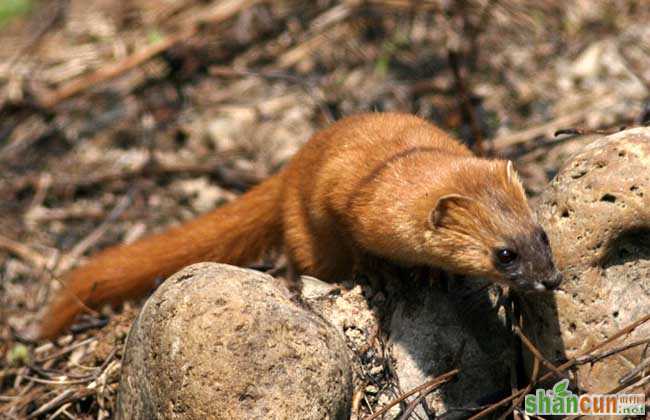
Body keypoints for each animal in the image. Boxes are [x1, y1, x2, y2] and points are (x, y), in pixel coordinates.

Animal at [33, 113, 560, 340]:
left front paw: (431, 272)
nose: (551, 278)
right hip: (305, 233)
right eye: (504, 253)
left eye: (541, 233)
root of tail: (290, 167)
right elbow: (359, 246)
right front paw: (380, 272)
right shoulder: (341, 201)